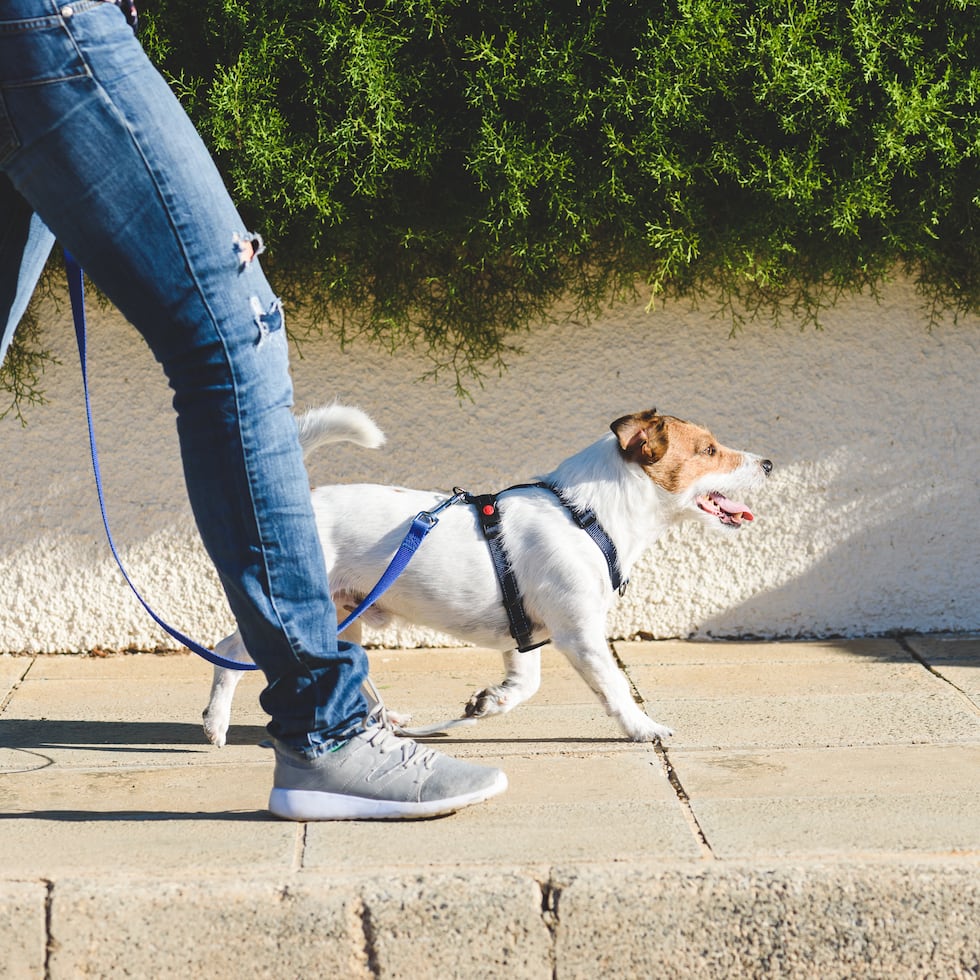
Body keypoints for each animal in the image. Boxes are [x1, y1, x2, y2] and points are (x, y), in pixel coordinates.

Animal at [203, 402, 772, 748]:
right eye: (709, 451)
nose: (768, 463)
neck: (588, 515)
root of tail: (302, 503)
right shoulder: (581, 634)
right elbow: (614, 688)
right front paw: (643, 727)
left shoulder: (527, 634)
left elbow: (524, 685)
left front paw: (488, 703)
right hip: (301, 611)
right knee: (229, 652)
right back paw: (216, 723)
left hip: (346, 615)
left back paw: (385, 721)